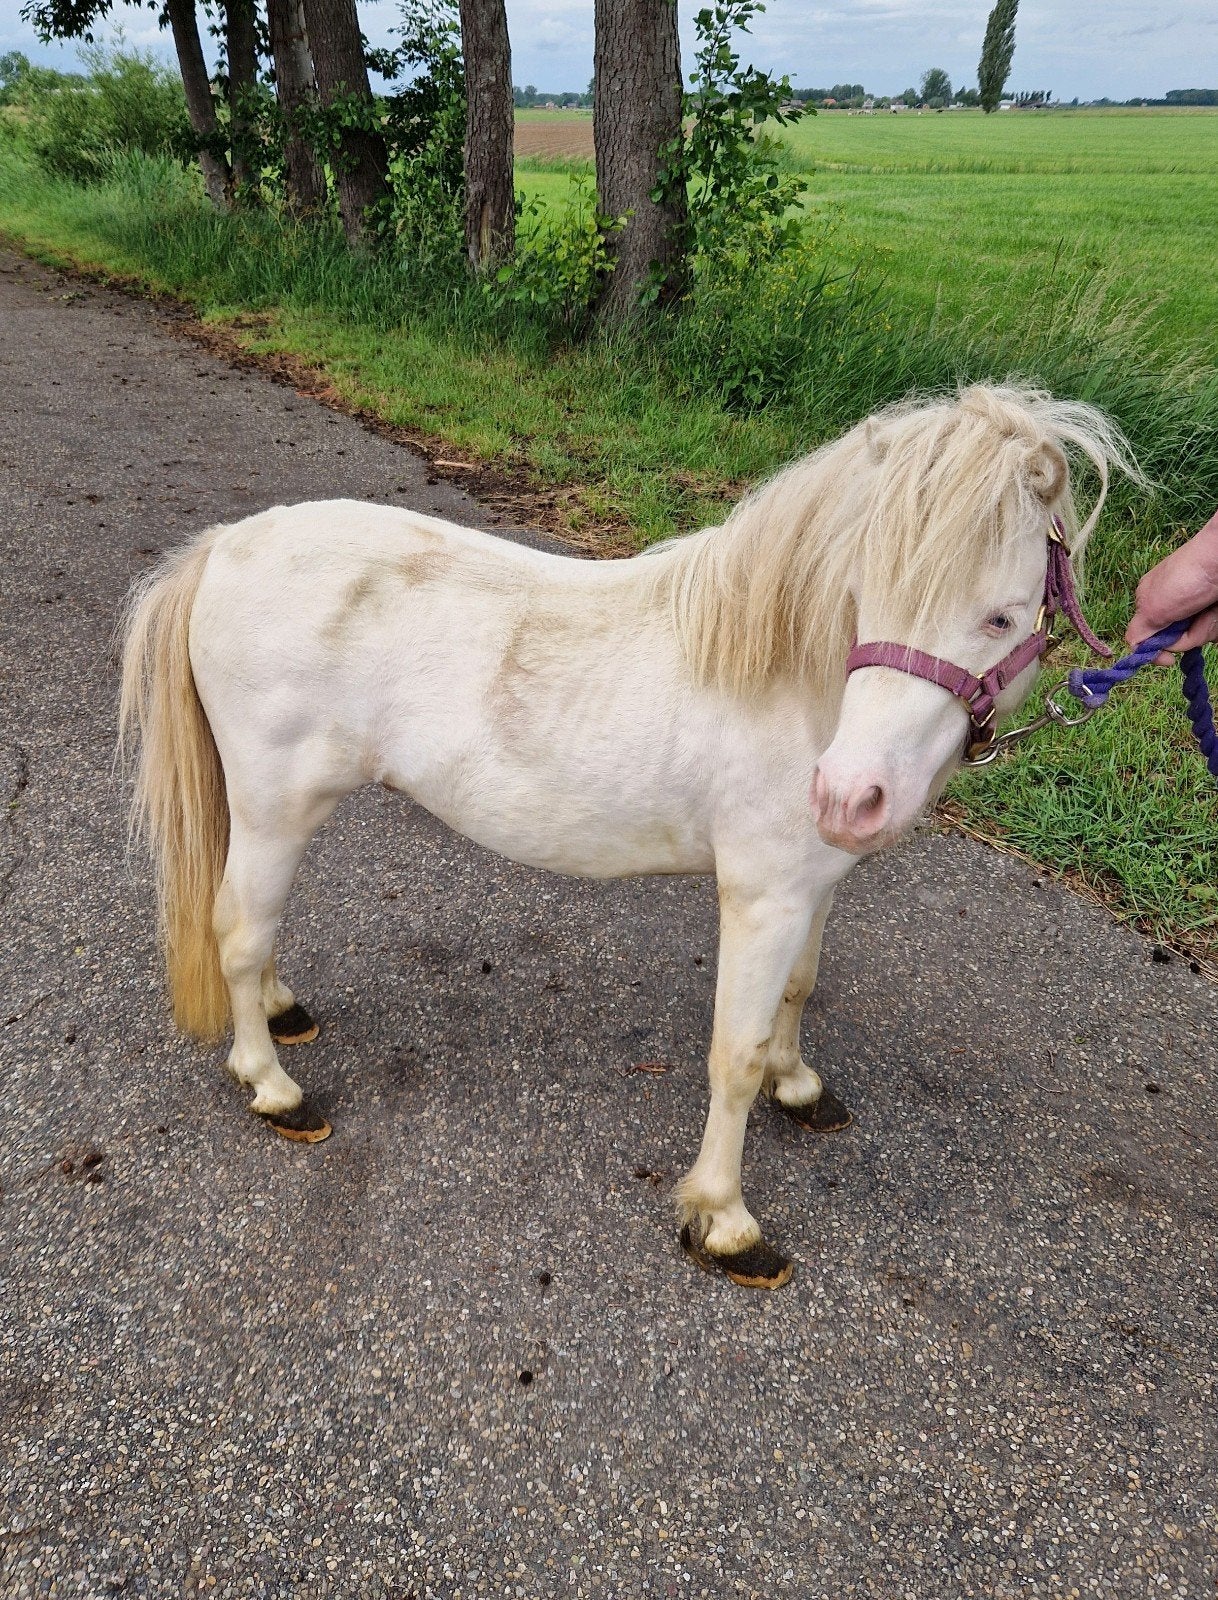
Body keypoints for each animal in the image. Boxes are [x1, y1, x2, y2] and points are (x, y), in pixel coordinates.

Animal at [118, 384, 1136, 1289]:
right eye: (866, 597)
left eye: (1002, 616)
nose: (852, 797)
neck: (791, 682)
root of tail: (223, 550)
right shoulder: (761, 898)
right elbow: (733, 1053)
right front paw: (725, 1221)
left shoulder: (812, 886)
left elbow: (795, 996)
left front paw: (799, 1087)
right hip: (272, 809)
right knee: (237, 931)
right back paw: (273, 1086)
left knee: (254, 928)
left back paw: (283, 1009)